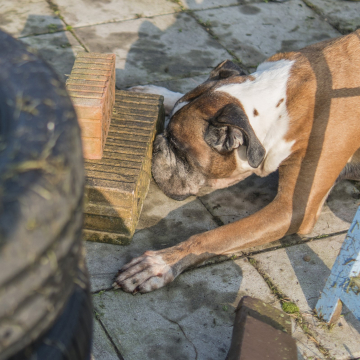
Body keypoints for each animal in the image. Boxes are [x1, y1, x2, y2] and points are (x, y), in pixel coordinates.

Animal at [114, 30, 360, 292]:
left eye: (177, 147)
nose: (157, 143)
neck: (281, 106)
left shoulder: (291, 209)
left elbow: (215, 237)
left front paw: (161, 262)